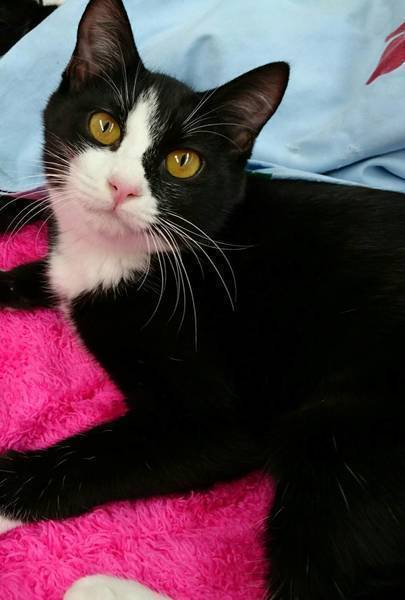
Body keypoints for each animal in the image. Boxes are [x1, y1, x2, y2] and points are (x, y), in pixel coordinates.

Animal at [1, 0, 405, 598]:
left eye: (182, 163)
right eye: (104, 126)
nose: (122, 187)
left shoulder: (215, 418)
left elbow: (117, 451)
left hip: (345, 432)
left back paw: (102, 587)